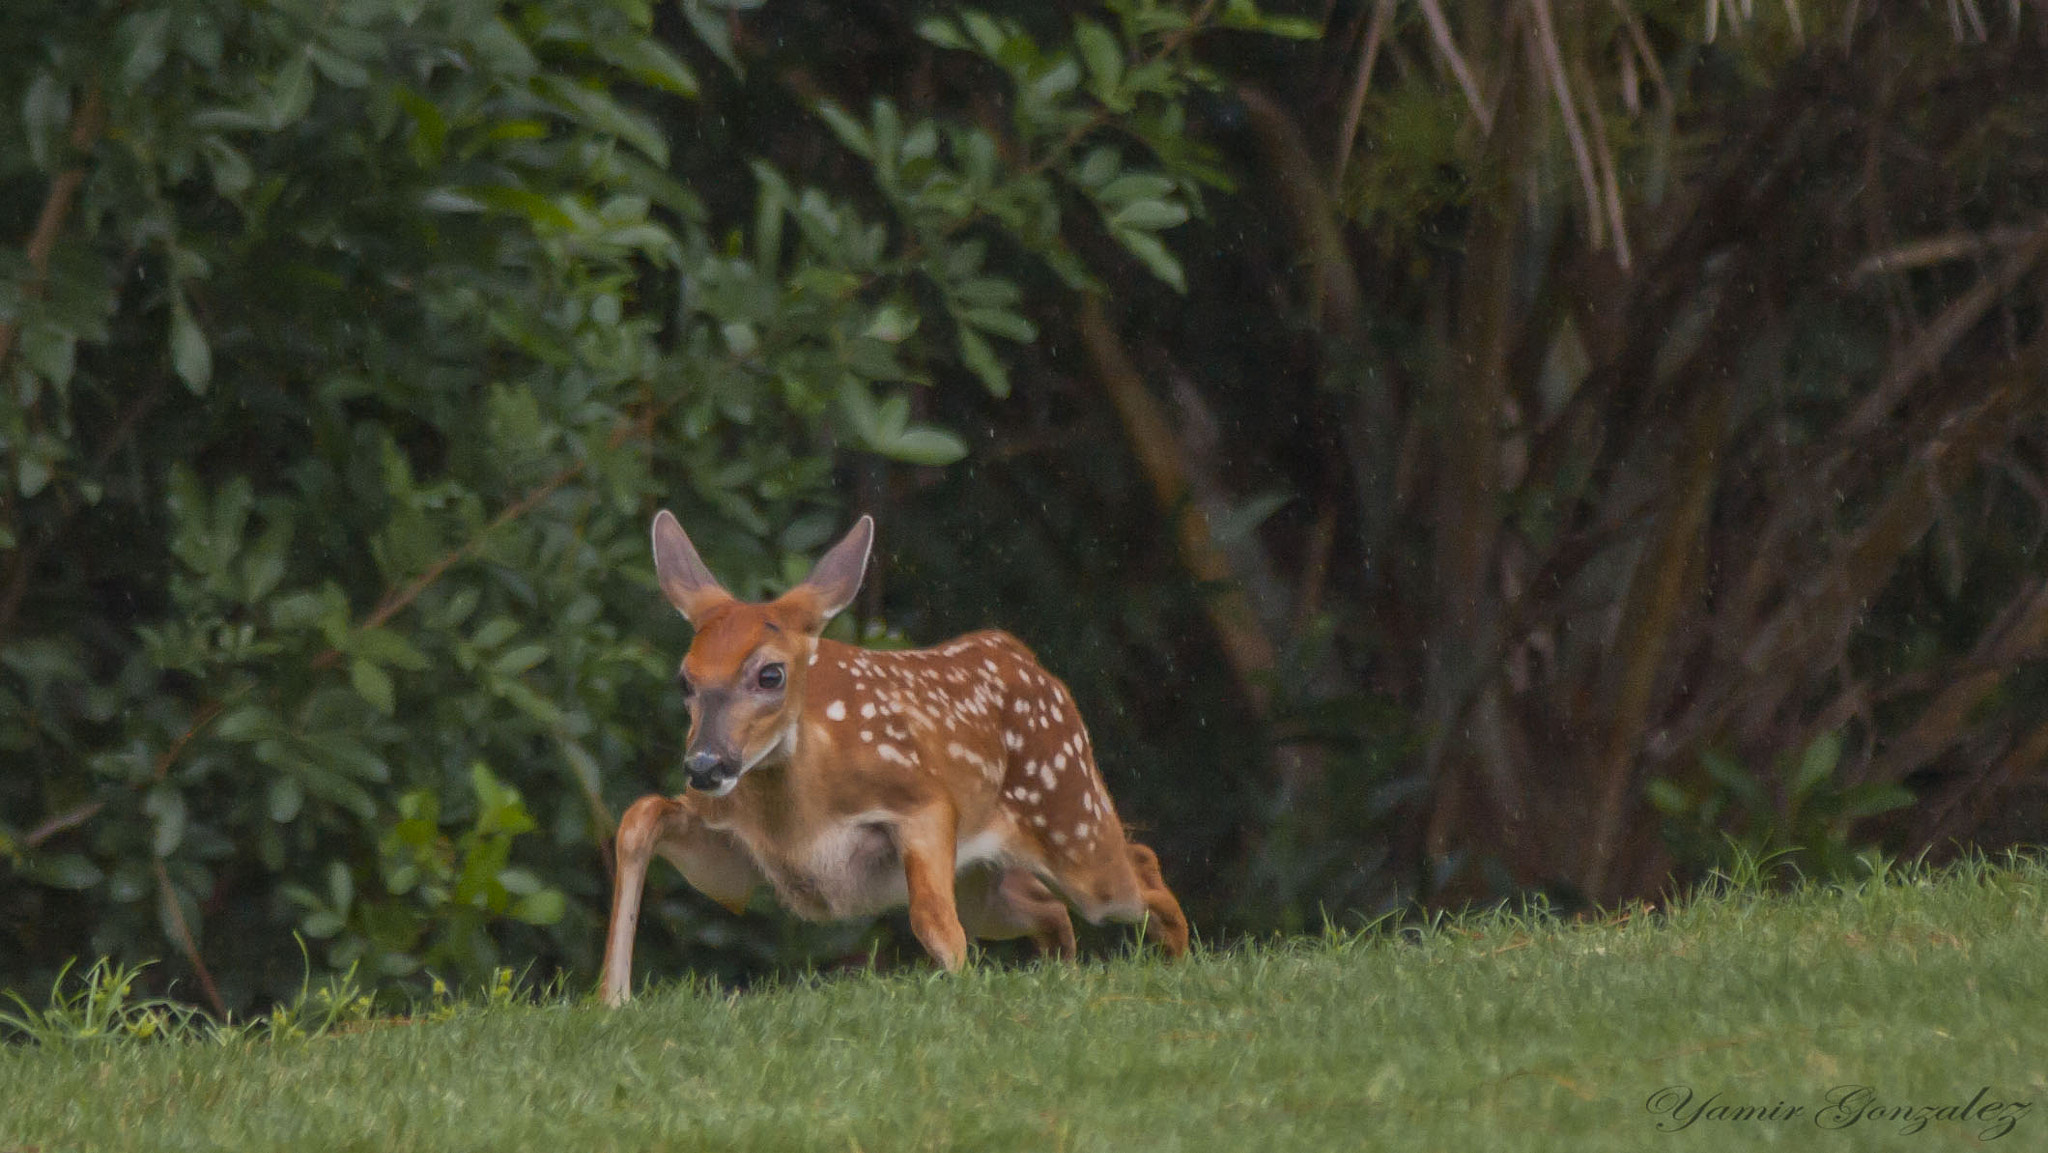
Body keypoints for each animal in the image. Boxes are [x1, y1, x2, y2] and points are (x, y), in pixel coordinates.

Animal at [599, 510, 1189, 1005]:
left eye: (770, 674)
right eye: (685, 680)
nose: (705, 766)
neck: (798, 825)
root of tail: (1027, 657)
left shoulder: (922, 798)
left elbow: (931, 919)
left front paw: (959, 987)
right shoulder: (730, 850)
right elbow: (639, 816)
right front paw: (613, 997)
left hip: (1073, 821)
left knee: (1137, 865)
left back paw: (1176, 963)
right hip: (986, 881)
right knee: (1051, 908)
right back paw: (1067, 972)